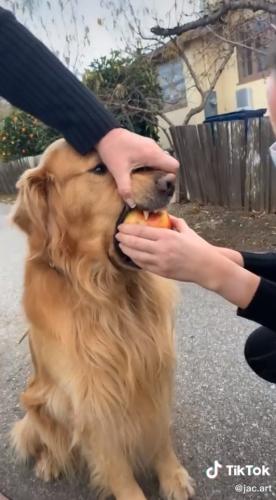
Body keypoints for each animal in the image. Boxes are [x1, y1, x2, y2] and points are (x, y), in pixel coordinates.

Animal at [10, 138, 194, 500]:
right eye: (99, 168)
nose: (170, 181)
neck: (110, 293)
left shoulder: (155, 371)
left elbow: (159, 433)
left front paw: (172, 476)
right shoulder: (91, 401)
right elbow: (117, 469)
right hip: (39, 401)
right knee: (47, 441)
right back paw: (49, 464)